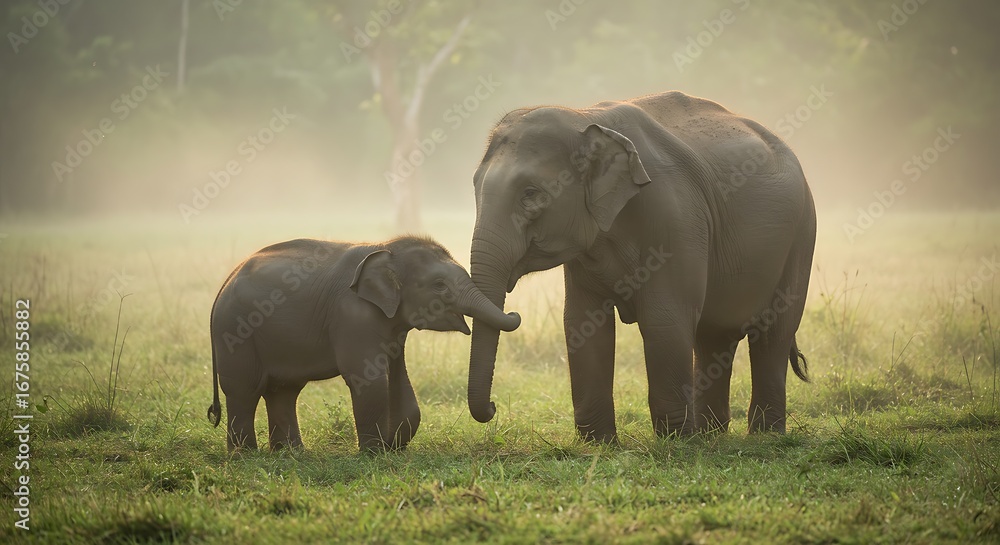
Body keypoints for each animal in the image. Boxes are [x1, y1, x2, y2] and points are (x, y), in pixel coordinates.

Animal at [207, 236, 520, 452]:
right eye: (440, 286)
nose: (493, 407)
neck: (386, 248)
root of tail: (225, 283)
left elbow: (398, 378)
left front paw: (394, 447)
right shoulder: (352, 315)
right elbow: (369, 379)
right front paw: (374, 452)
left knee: (283, 391)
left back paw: (291, 453)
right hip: (235, 330)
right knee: (245, 389)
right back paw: (245, 454)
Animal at [466, 91, 816, 441]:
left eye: (530, 193)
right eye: (475, 188)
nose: (494, 407)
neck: (585, 118)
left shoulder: (677, 219)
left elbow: (664, 318)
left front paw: (675, 441)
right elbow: (582, 322)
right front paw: (599, 442)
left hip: (801, 235)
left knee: (774, 332)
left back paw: (764, 435)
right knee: (714, 336)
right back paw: (711, 435)